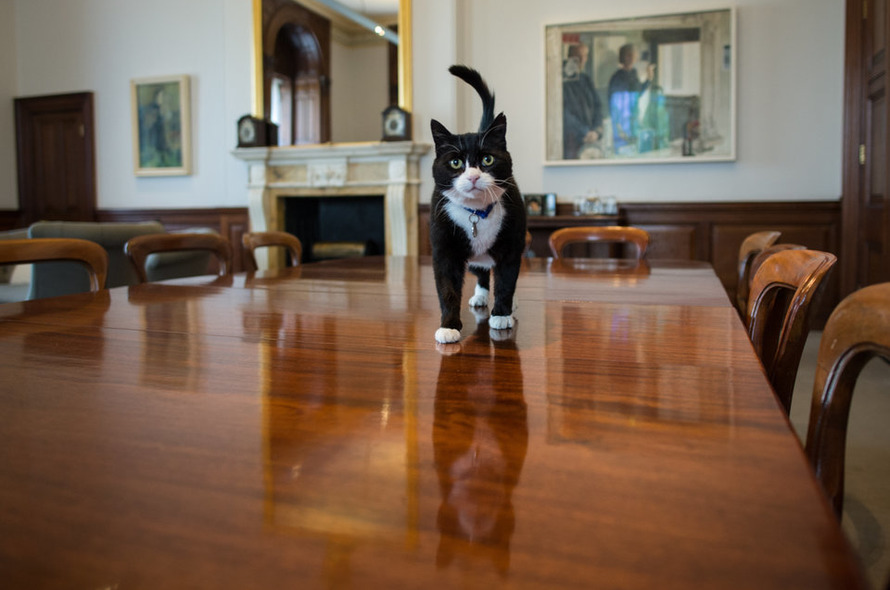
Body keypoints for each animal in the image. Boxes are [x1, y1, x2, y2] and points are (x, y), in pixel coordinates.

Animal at [426, 65, 524, 344]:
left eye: (487, 159)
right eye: (455, 163)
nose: (472, 176)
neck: (477, 212)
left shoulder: (511, 245)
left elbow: (506, 280)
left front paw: (501, 314)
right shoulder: (444, 249)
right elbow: (447, 287)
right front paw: (449, 326)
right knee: (480, 271)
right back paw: (480, 296)